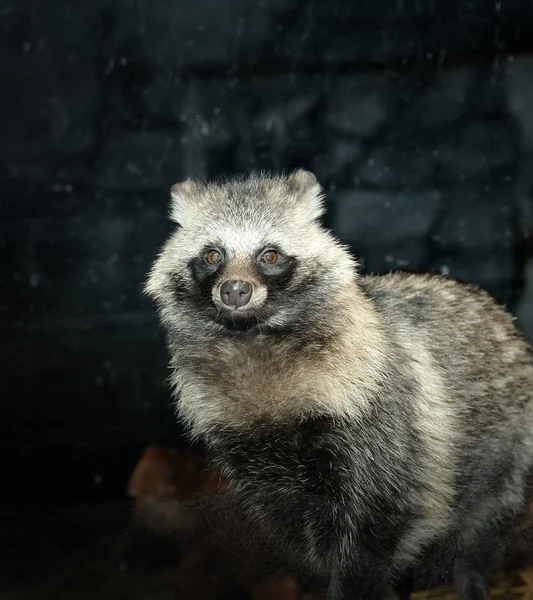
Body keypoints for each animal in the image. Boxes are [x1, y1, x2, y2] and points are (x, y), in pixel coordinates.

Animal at [144, 170, 532, 600]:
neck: (253, 339)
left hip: (505, 437)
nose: (235, 290)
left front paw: (356, 581)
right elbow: (298, 528)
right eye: (213, 255)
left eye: (270, 255)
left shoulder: (380, 415)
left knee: (484, 515)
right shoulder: (249, 453)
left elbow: (389, 517)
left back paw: (471, 572)